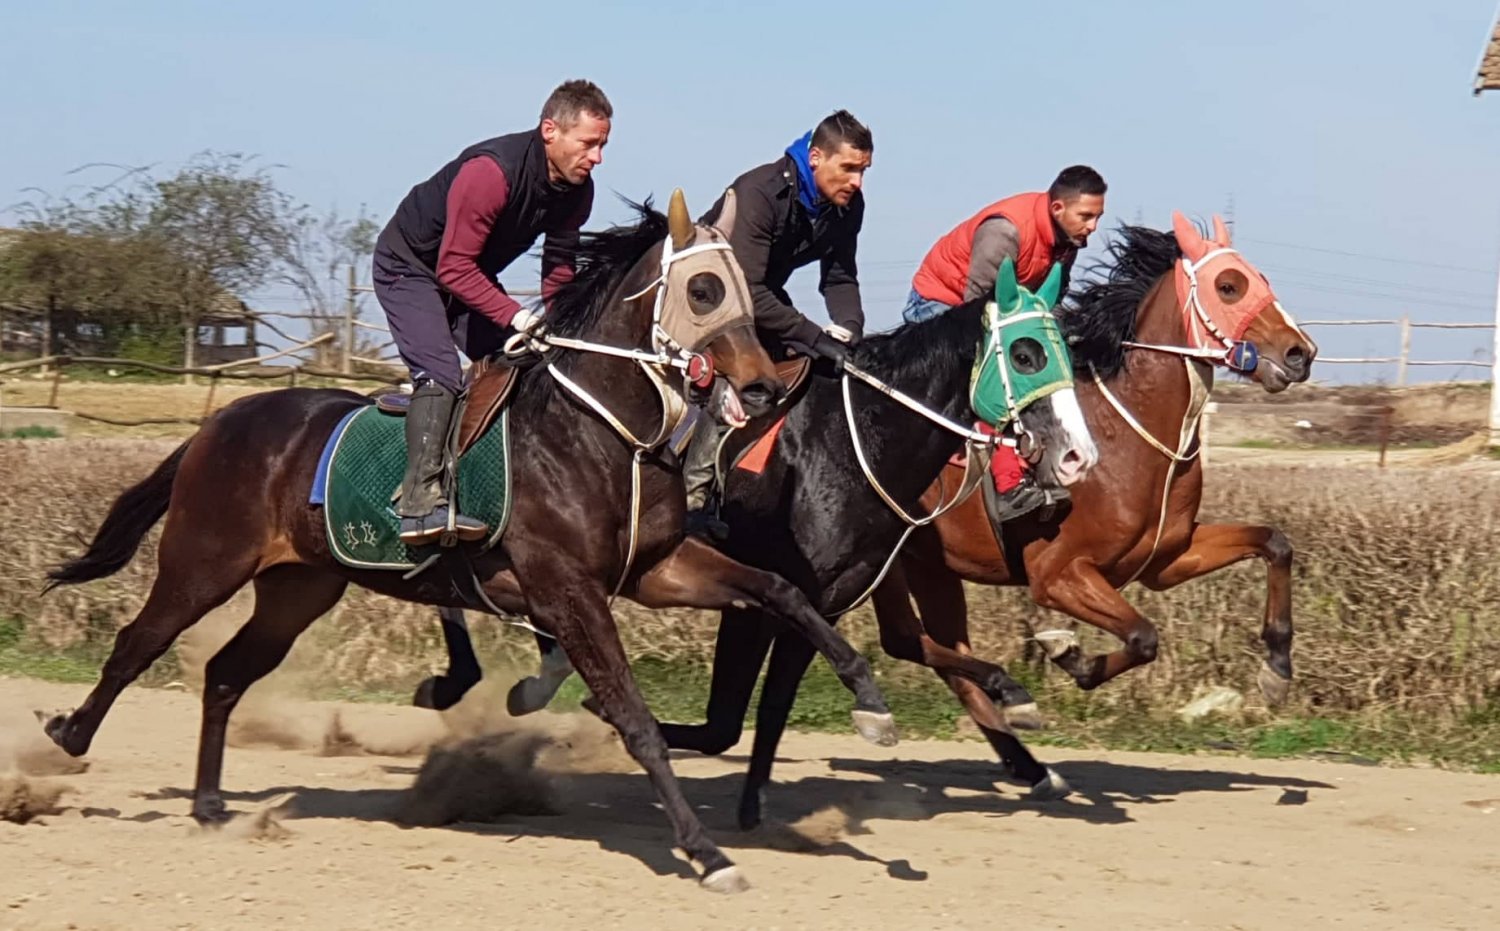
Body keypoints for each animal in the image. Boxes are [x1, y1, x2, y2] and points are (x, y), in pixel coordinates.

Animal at [37, 191, 904, 893]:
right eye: (703, 288)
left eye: (747, 287)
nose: (760, 386)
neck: (599, 429)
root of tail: (218, 424)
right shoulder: (567, 588)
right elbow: (634, 717)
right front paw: (705, 851)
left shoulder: (656, 567)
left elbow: (781, 590)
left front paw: (871, 704)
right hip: (203, 561)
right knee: (136, 642)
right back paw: (67, 737)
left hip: (297, 589)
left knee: (222, 673)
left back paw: (212, 800)